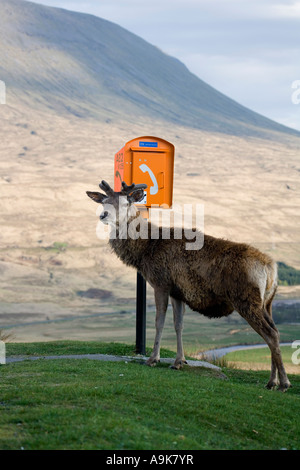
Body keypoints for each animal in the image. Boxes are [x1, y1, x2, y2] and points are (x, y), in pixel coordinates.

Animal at [86, 182, 290, 392]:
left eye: (126, 202)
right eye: (104, 201)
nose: (103, 215)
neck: (145, 252)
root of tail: (271, 268)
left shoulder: (161, 282)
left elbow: (159, 321)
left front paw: (153, 359)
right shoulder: (178, 292)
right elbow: (179, 324)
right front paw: (179, 361)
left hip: (246, 299)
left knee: (271, 334)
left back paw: (283, 382)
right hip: (267, 303)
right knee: (275, 331)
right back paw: (272, 381)